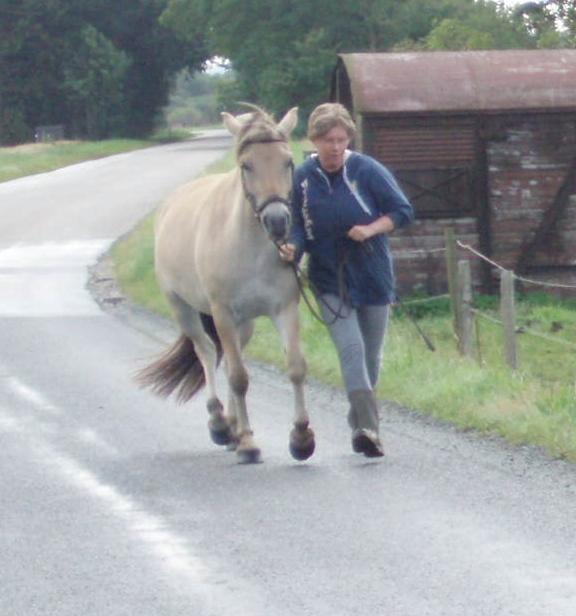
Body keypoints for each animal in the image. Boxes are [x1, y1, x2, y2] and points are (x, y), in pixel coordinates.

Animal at [137, 106, 316, 462]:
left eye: (288, 162)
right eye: (246, 165)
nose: (278, 221)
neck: (250, 246)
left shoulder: (285, 309)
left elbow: (295, 367)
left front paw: (301, 437)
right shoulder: (221, 314)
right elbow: (237, 377)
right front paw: (247, 442)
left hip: (243, 323)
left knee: (234, 355)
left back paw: (231, 426)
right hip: (183, 308)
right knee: (207, 351)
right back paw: (220, 423)